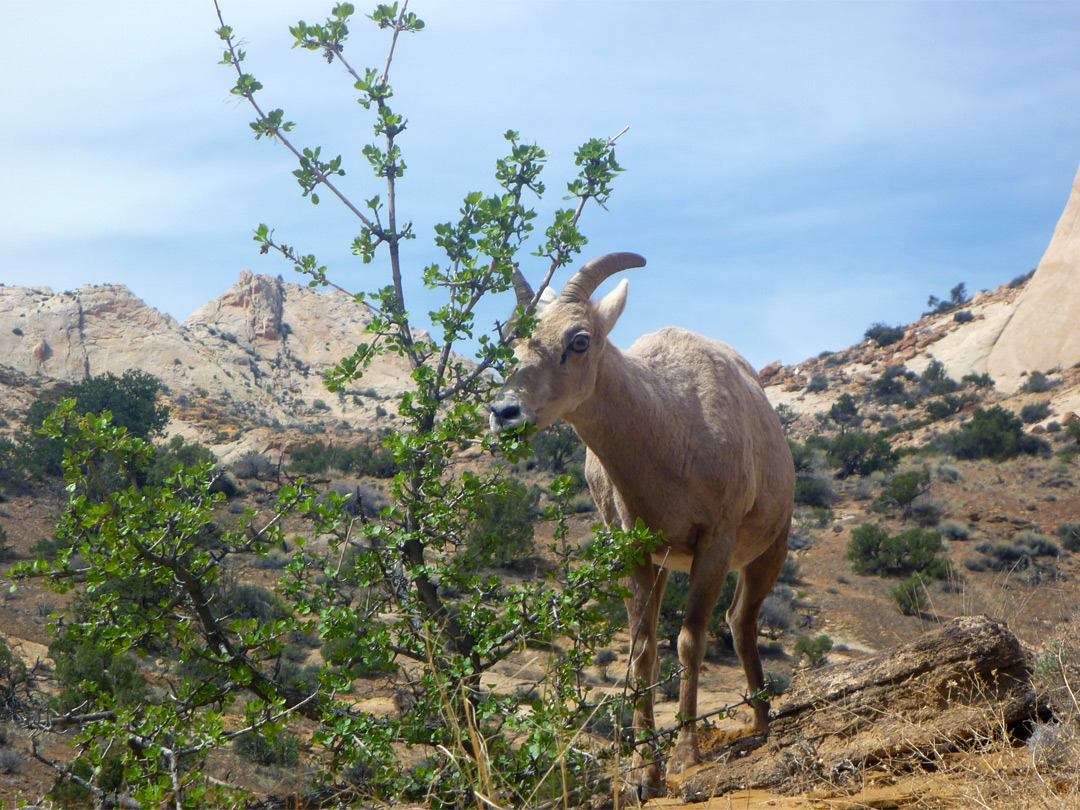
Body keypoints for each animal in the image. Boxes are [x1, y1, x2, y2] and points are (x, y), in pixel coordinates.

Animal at [494, 252, 799, 794]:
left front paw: (684, 757)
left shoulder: (714, 542)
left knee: (741, 621)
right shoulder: (635, 548)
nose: (505, 412)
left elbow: (690, 641)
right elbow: (641, 650)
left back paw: (762, 721)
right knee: (732, 622)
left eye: (579, 339)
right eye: (511, 337)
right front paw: (644, 774)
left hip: (771, 547)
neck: (672, 431)